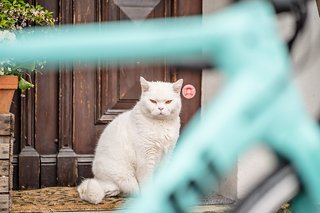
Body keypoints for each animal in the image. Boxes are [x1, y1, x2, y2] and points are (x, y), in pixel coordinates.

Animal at [77, 77, 182, 205]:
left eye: (168, 102)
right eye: (153, 101)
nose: (160, 108)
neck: (160, 126)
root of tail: (97, 177)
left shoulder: (166, 156)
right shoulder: (146, 158)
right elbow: (147, 182)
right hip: (123, 177)